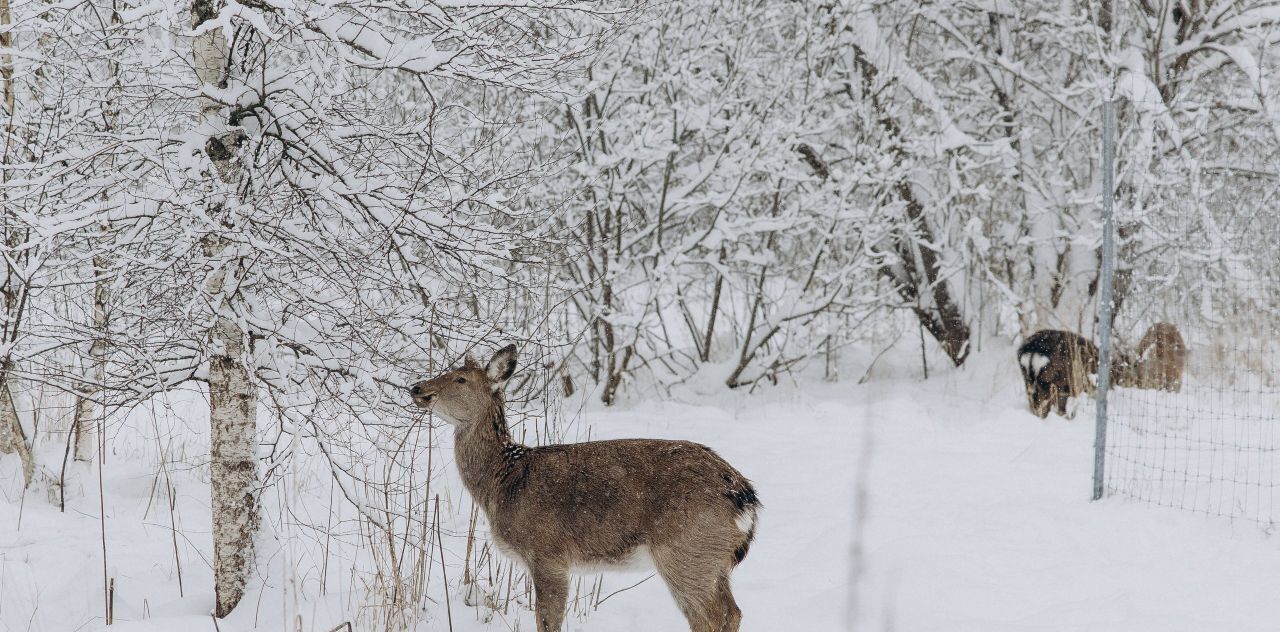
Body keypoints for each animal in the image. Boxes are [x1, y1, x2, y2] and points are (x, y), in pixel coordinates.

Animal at [407, 345, 757, 632]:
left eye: (461, 379)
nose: (417, 387)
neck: (503, 482)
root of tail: (745, 498)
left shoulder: (547, 554)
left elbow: (548, 621)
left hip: (685, 549)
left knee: (711, 617)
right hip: (711, 557)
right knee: (732, 612)